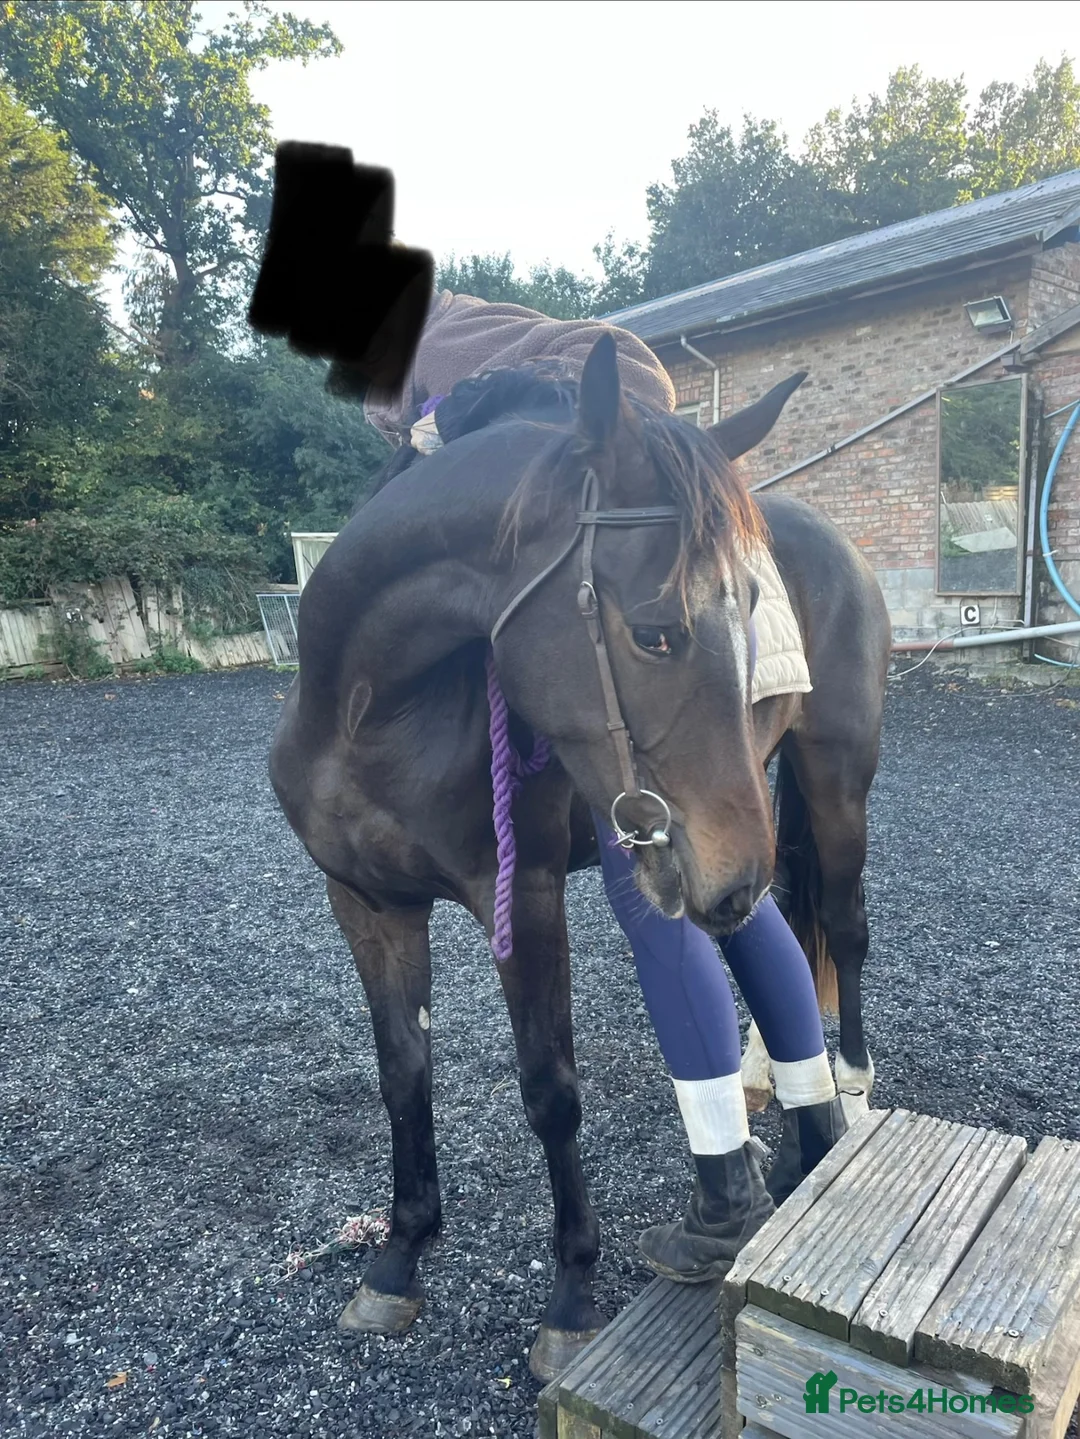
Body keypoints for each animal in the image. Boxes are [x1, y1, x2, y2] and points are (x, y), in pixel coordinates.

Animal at [268, 333, 892, 1380]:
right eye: (656, 632)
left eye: (748, 607)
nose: (729, 872)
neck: (370, 711)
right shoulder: (366, 901)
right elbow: (402, 1071)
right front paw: (399, 1255)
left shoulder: (526, 897)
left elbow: (550, 1092)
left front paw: (570, 1295)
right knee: (779, 930)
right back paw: (779, 1095)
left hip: (819, 788)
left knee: (839, 923)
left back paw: (842, 1086)